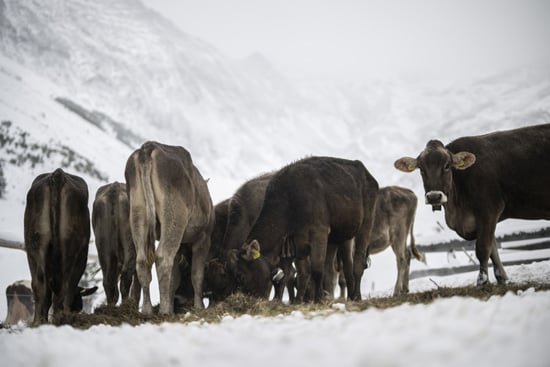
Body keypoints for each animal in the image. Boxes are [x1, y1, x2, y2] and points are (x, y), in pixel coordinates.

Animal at [24, 168, 96, 326]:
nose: (78, 308)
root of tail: (58, 174)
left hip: (35, 245)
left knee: (40, 286)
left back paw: (39, 322)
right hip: (70, 249)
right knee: (65, 286)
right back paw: (61, 318)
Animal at [126, 142, 215, 314]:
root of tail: (148, 148)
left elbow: (175, 277)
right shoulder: (204, 237)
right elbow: (197, 274)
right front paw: (199, 306)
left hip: (137, 211)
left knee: (142, 261)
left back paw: (147, 310)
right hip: (174, 214)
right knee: (163, 257)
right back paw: (164, 311)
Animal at [243, 157, 378, 304]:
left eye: (243, 270)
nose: (242, 296)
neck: (289, 198)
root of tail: (361, 168)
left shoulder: (319, 233)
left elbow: (317, 270)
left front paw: (318, 299)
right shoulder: (295, 241)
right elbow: (303, 273)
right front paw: (298, 301)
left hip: (366, 225)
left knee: (357, 263)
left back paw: (357, 297)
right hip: (341, 237)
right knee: (343, 267)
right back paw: (348, 297)